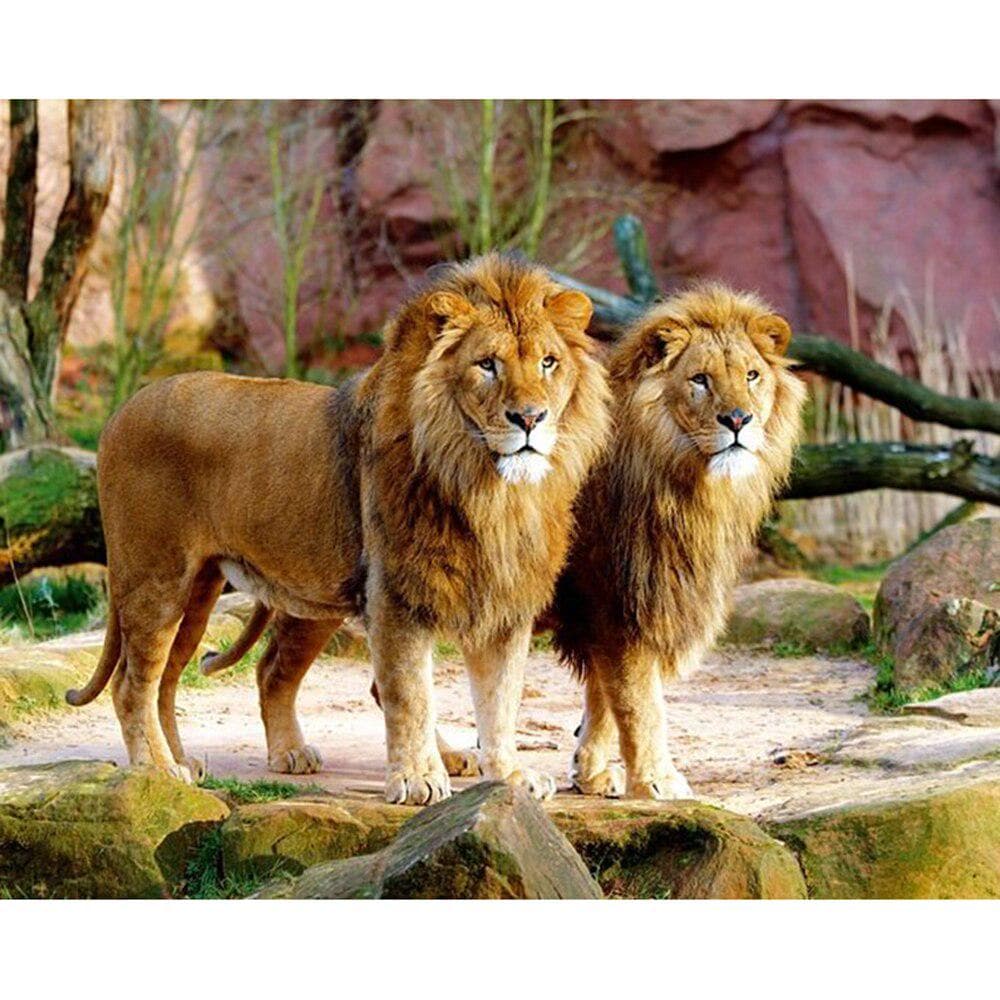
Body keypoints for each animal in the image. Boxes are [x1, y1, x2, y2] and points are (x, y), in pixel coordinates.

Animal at [67, 254, 611, 806]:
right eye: (487, 364)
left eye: (548, 362)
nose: (530, 418)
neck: (488, 486)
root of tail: (118, 413)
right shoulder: (397, 594)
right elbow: (411, 693)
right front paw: (418, 780)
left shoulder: (505, 602)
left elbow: (500, 701)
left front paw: (511, 776)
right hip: (156, 579)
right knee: (133, 683)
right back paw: (157, 770)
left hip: (205, 592)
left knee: (181, 678)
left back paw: (198, 760)